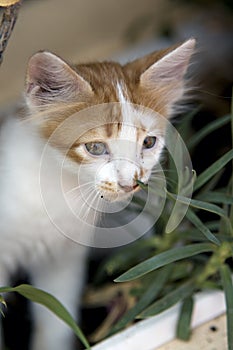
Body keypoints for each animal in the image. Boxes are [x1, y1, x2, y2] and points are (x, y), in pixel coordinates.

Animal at [0, 39, 195, 350]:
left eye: (149, 143)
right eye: (95, 148)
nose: (130, 183)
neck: (60, 189)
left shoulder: (64, 259)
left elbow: (56, 320)